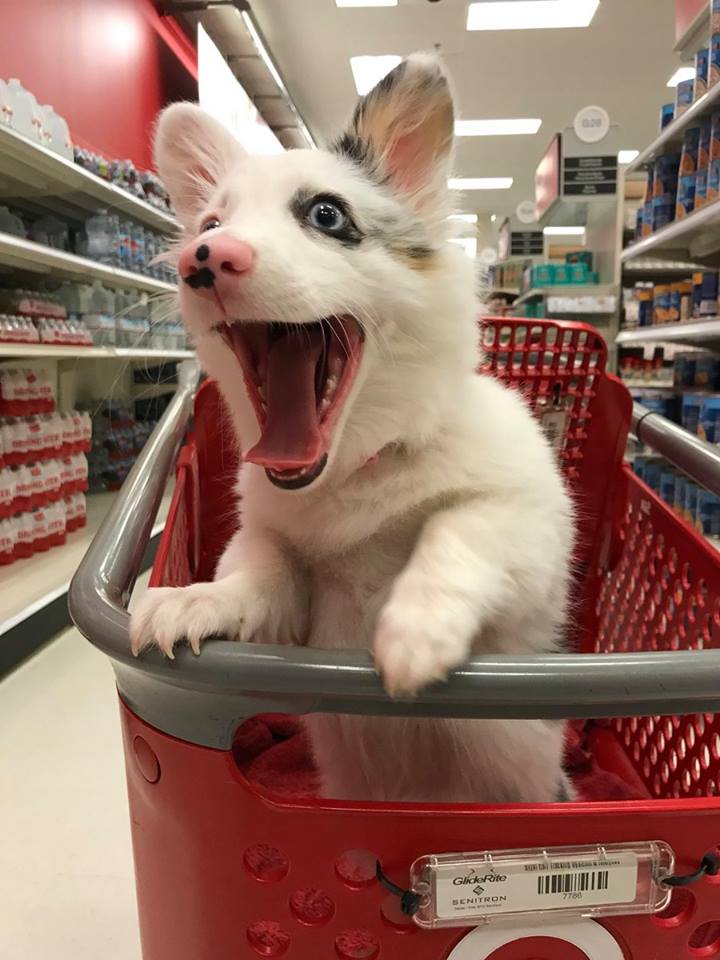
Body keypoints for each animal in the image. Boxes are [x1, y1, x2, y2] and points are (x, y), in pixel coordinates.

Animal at [131, 52, 572, 804]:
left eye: (327, 214)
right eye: (210, 221)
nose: (203, 258)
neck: (353, 468)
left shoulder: (530, 531)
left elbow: (458, 528)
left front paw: (415, 627)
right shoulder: (280, 572)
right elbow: (256, 573)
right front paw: (199, 599)